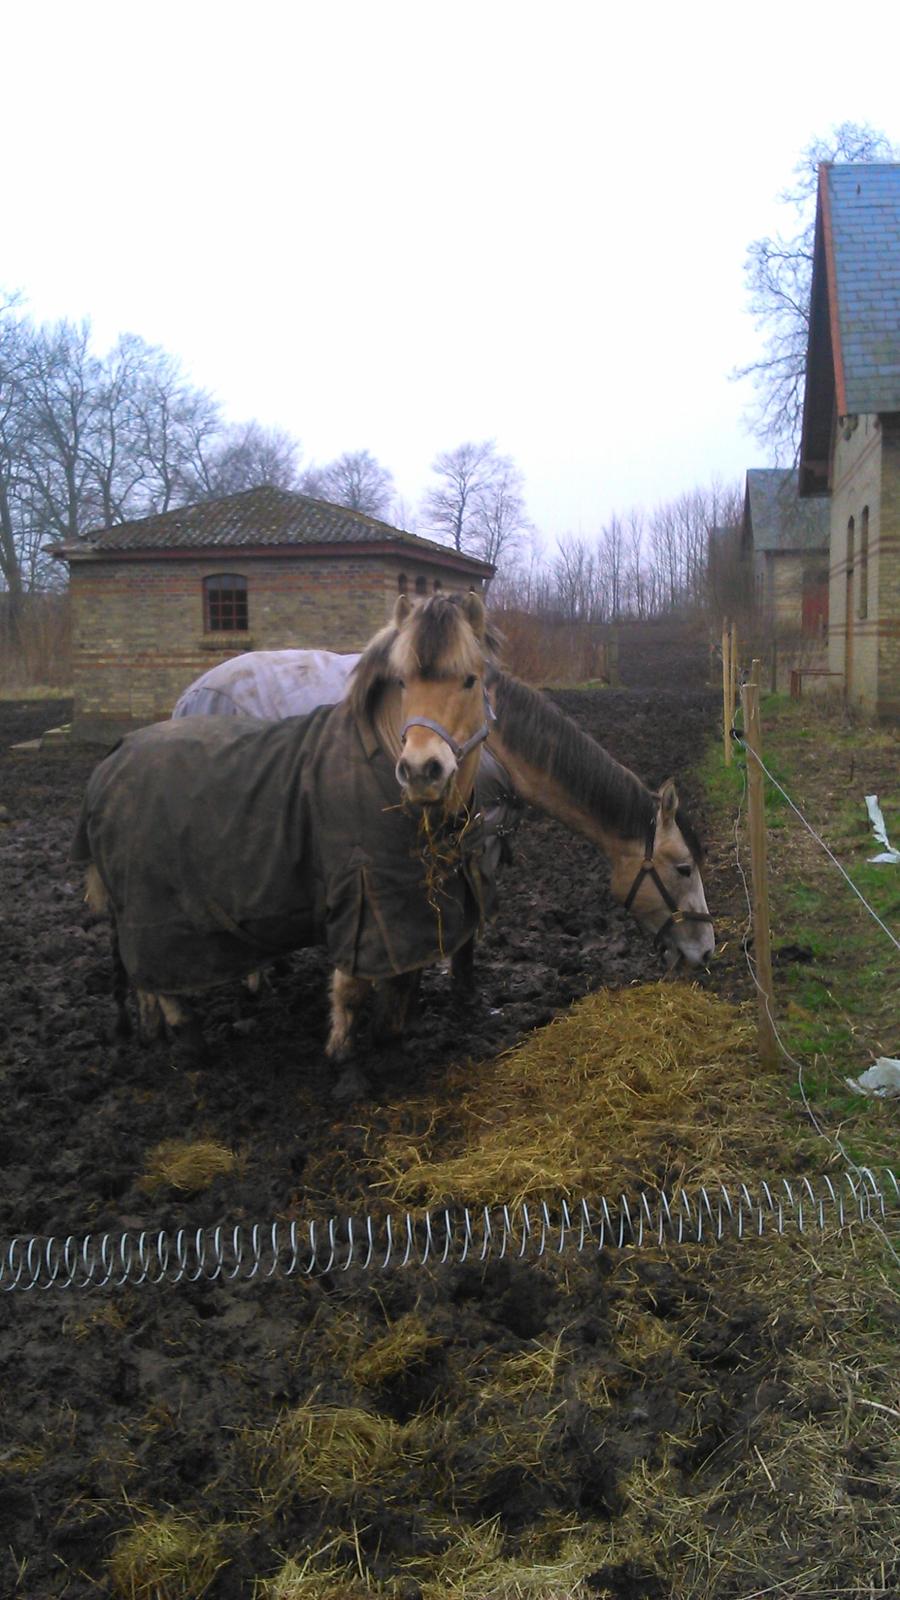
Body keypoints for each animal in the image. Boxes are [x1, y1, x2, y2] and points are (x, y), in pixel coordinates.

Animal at [75, 595, 496, 1056]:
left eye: (470, 680)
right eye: (401, 682)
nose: (422, 771)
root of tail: (108, 764)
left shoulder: (411, 909)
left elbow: (400, 990)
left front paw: (389, 1041)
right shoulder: (364, 902)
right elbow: (352, 991)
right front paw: (342, 1055)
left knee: (145, 982)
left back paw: (156, 1033)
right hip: (154, 915)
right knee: (164, 981)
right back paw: (192, 1040)